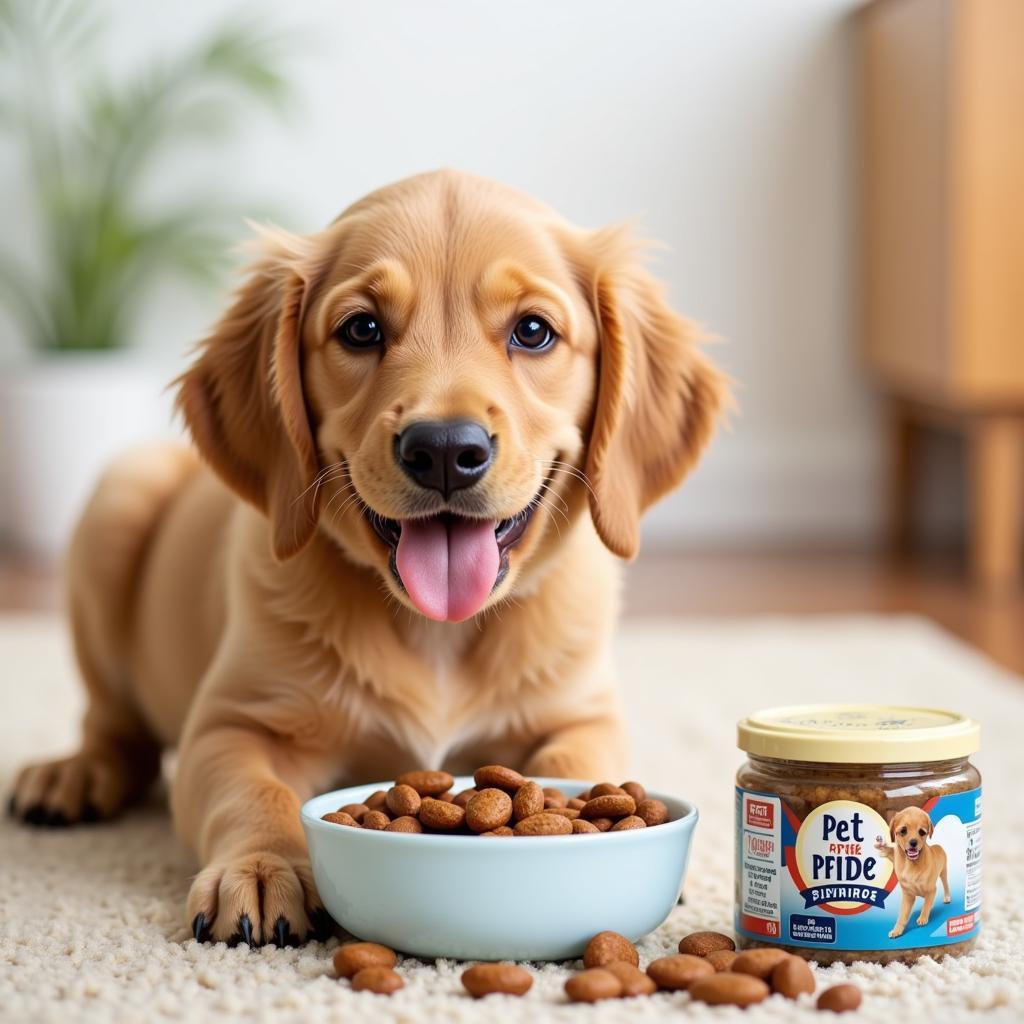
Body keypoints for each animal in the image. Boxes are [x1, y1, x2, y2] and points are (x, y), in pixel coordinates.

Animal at [9, 167, 729, 942]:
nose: (443, 450)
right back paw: (73, 773)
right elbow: (252, 791)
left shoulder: (582, 715)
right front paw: (263, 867)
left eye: (534, 331)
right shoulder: (234, 722)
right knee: (115, 726)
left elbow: (573, 761)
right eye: (362, 329)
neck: (438, 633)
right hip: (120, 495)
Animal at [876, 802, 946, 937]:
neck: (912, 864)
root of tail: (938, 846)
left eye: (922, 832)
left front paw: (923, 918)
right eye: (903, 831)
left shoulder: (931, 890)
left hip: (944, 872)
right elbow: (902, 915)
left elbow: (927, 904)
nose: (913, 842)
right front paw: (897, 929)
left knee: (946, 885)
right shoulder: (908, 895)